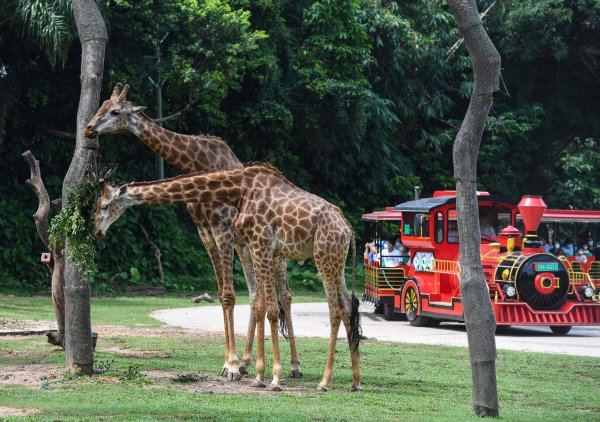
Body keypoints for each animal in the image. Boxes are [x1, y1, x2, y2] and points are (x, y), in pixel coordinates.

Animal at [83, 83, 300, 380]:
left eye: (115, 111)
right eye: (102, 104)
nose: (88, 129)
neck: (196, 161)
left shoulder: (222, 230)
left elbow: (229, 295)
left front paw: (231, 366)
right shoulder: (205, 234)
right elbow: (223, 295)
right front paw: (231, 363)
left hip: (274, 252)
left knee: (285, 296)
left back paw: (294, 366)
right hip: (246, 247)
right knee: (257, 295)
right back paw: (248, 362)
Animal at [94, 164, 364, 392]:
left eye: (104, 205)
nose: (96, 230)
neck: (239, 189)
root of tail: (349, 230)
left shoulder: (260, 243)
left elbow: (270, 309)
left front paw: (273, 378)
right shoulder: (258, 247)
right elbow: (261, 304)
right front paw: (257, 376)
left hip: (324, 257)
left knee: (334, 308)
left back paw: (324, 381)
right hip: (335, 260)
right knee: (347, 306)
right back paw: (355, 381)